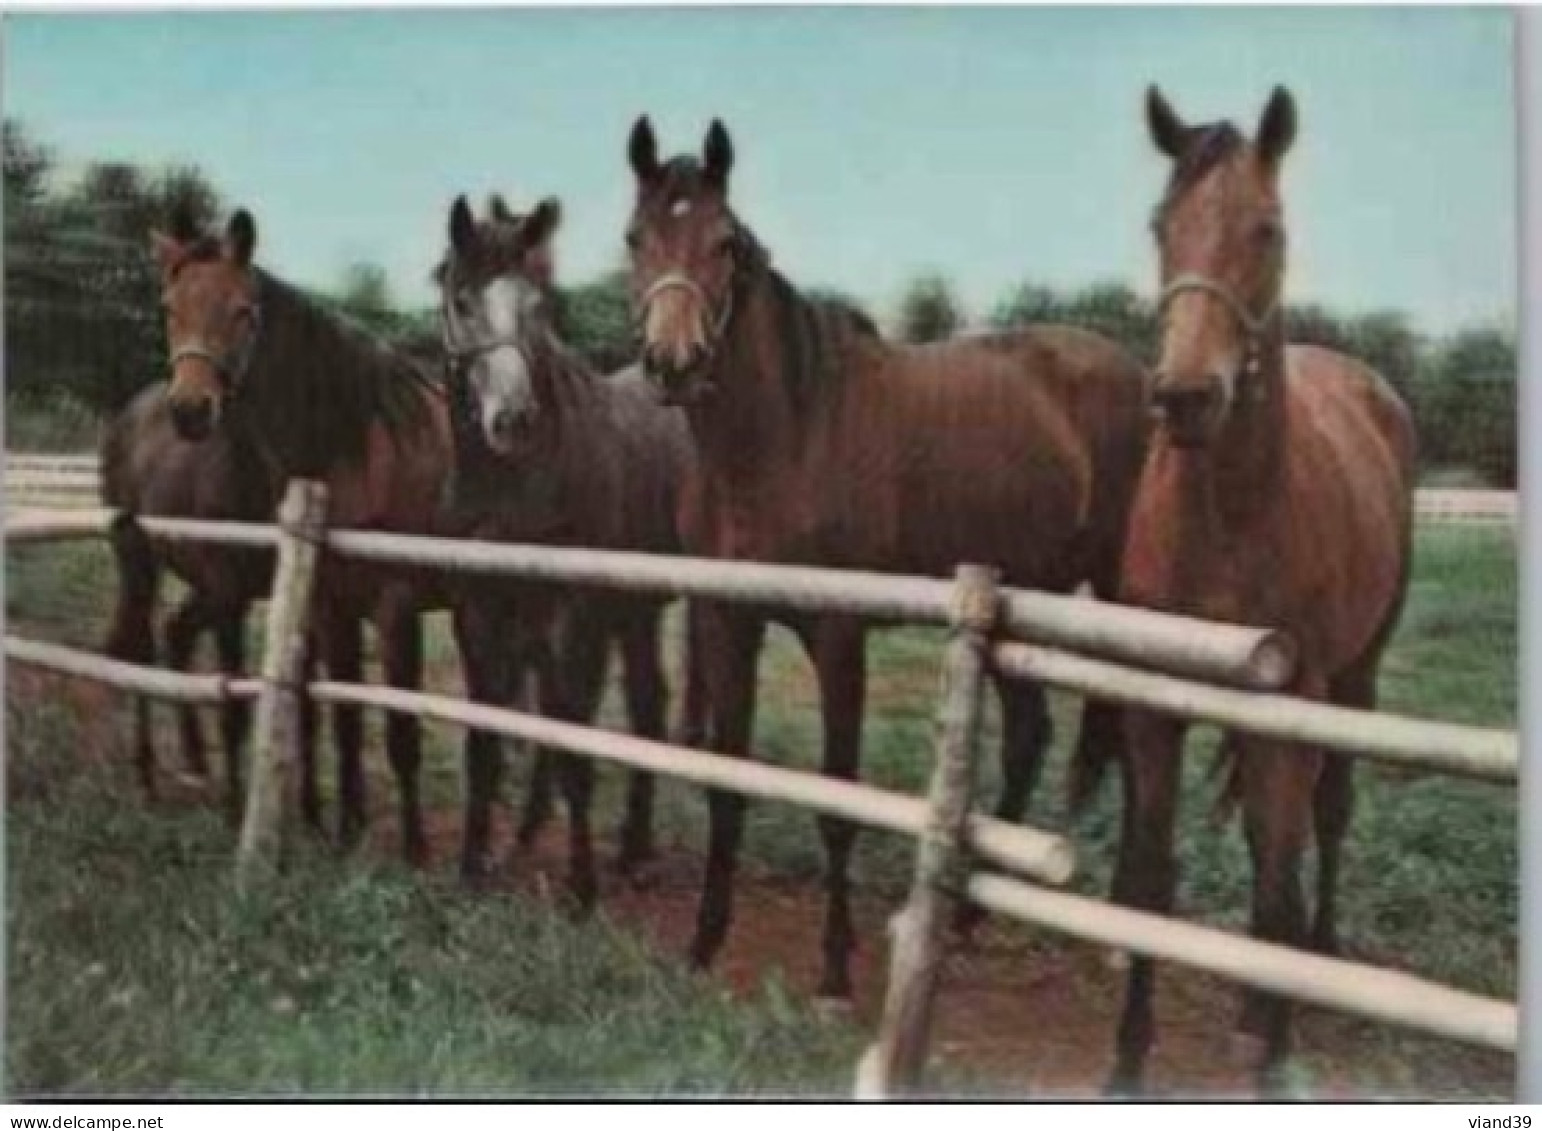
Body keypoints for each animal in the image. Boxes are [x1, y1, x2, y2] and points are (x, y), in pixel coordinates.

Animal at [102, 374, 276, 814]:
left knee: (176, 632)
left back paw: (195, 761)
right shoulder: (229, 595)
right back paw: (146, 777)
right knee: (142, 650)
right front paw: (235, 806)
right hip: (139, 563)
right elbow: (234, 707)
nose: (190, 412)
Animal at [154, 205, 453, 857]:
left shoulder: (395, 607)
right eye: (169, 307)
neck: (359, 444)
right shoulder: (329, 607)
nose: (190, 410)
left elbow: (399, 730)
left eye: (244, 310)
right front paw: (347, 831)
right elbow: (343, 719)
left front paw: (413, 851)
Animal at [434, 194, 700, 901]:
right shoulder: (478, 610)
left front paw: (580, 884)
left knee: (644, 710)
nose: (513, 420)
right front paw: (472, 863)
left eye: (539, 304)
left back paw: (632, 852)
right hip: (625, 615)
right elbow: (489, 732)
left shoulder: (573, 613)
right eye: (461, 299)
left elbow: (570, 731)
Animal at [619, 114, 1153, 999]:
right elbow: (729, 781)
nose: (675, 362)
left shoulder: (839, 637)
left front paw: (836, 965)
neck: (783, 440)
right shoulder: (726, 622)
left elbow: (838, 801)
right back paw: (966, 921)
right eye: (635, 238)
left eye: (725, 242)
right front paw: (704, 939)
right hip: (1023, 595)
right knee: (1028, 733)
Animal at [1091, 83, 1412, 1092]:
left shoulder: (1294, 705)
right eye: (1161, 224)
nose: (1187, 397)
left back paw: (1309, 968)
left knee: (1324, 821)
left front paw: (1272, 1057)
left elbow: (1274, 874)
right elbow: (1151, 878)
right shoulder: (1157, 702)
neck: (1228, 515)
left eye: (1266, 228)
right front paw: (1128, 1057)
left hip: (1354, 679)